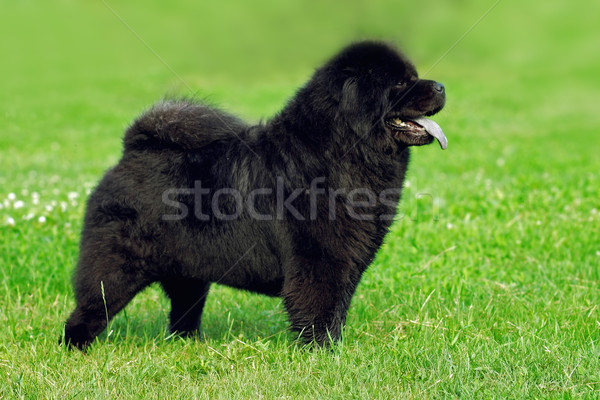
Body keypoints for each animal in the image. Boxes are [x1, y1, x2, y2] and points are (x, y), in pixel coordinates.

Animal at [63, 39, 446, 348]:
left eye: (415, 76)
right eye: (401, 83)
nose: (441, 86)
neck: (339, 151)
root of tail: (132, 149)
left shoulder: (345, 263)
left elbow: (336, 309)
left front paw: (333, 349)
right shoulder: (319, 260)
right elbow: (319, 310)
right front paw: (323, 353)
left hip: (189, 273)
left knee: (183, 312)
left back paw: (188, 343)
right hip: (115, 269)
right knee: (87, 311)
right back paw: (77, 349)